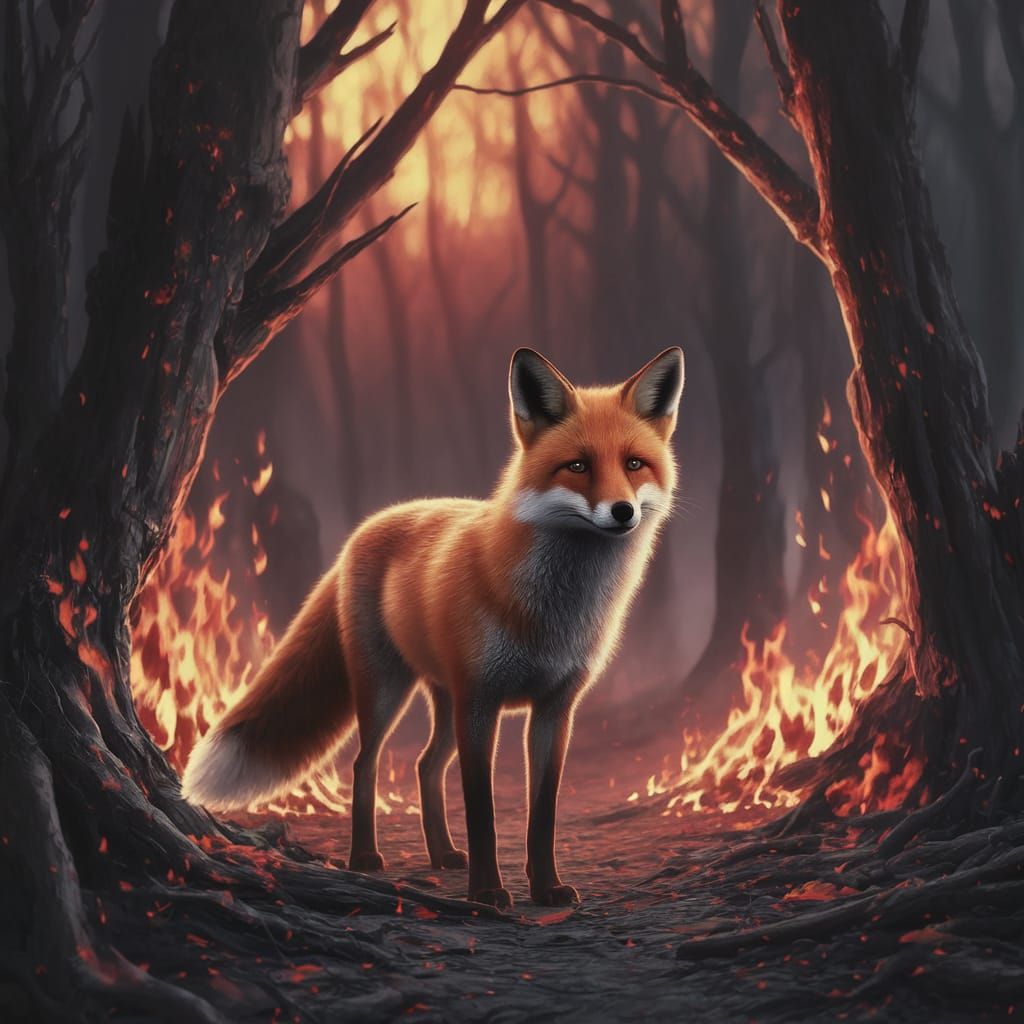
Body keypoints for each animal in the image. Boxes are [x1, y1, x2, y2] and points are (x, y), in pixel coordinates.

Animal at [182, 346, 684, 908]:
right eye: (577, 466)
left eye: (634, 463)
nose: (622, 512)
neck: (553, 613)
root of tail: (367, 526)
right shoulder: (481, 701)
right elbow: (483, 813)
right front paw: (487, 893)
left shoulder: (555, 709)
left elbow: (543, 814)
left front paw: (546, 887)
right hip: (387, 690)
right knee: (365, 765)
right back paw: (365, 858)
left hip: (442, 697)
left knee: (426, 764)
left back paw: (442, 854)